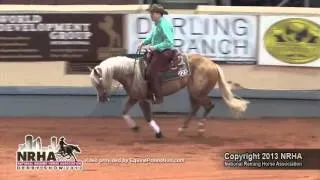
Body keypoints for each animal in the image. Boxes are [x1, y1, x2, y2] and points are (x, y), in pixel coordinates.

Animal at [89, 52, 250, 139]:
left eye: (98, 82)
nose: (101, 99)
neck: (132, 72)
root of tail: (213, 64)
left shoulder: (142, 99)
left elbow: (148, 117)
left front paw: (159, 133)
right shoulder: (134, 97)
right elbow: (124, 112)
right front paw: (134, 127)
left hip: (198, 92)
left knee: (209, 105)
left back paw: (200, 128)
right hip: (193, 92)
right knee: (195, 108)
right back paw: (182, 129)